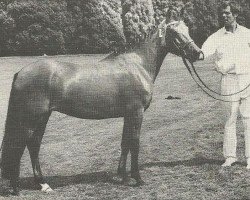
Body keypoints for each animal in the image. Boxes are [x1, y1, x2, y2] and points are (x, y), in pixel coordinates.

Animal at [0, 19, 201, 195]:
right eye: (174, 33)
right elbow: (134, 143)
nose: (198, 53)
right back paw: (16, 188)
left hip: (43, 117)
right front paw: (137, 178)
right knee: (19, 145)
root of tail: (21, 72)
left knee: (33, 145)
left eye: (187, 29)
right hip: (31, 117)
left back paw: (43, 184)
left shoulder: (128, 114)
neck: (137, 64)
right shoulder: (136, 113)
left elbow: (125, 143)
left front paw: (122, 176)